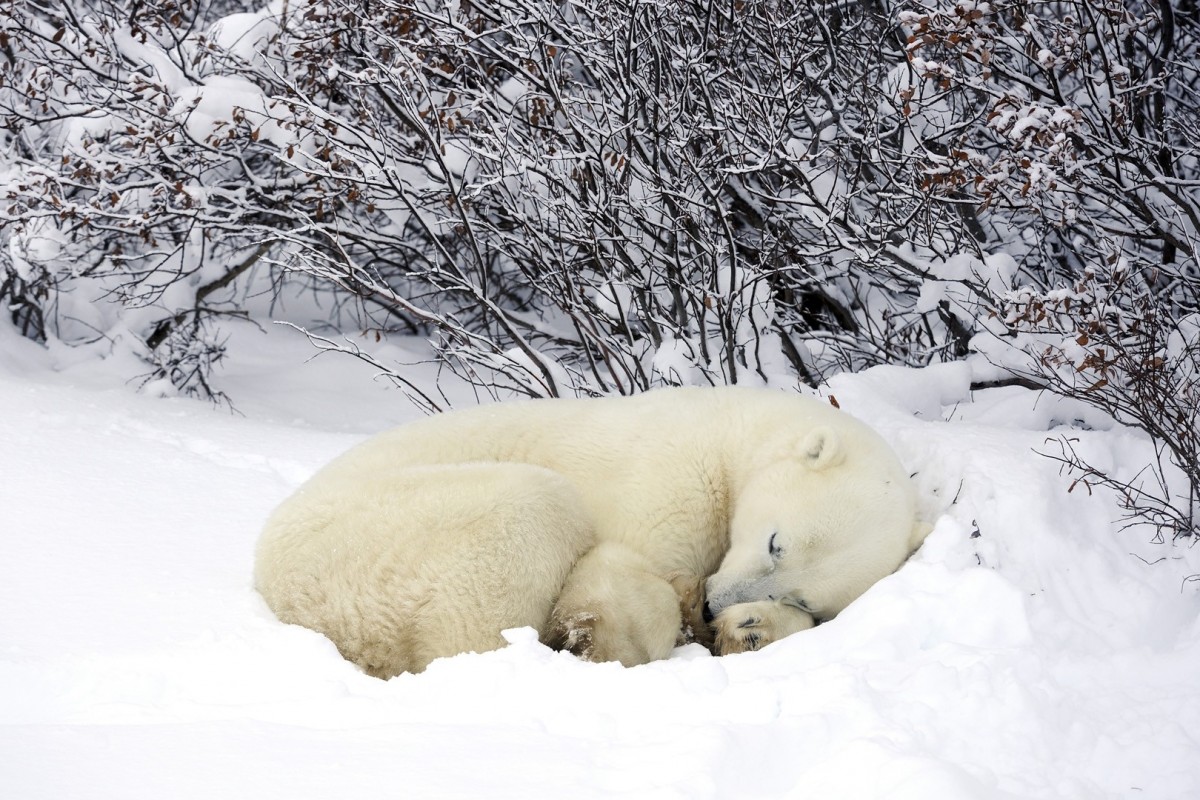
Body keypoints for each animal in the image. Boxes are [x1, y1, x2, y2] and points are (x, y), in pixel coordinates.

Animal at [255, 388, 926, 676]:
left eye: (803, 595)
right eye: (774, 541)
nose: (715, 605)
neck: (732, 434)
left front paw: (751, 629)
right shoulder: (670, 476)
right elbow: (620, 571)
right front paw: (616, 637)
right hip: (375, 540)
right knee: (529, 513)